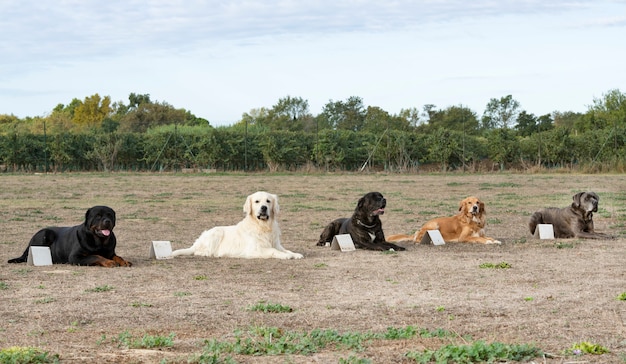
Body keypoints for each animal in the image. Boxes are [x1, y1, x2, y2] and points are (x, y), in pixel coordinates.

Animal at [171, 191, 302, 258]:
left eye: (268, 201)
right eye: (257, 201)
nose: (263, 208)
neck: (263, 226)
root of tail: (196, 243)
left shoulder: (276, 244)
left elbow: (286, 250)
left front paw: (295, 254)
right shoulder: (254, 250)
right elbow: (272, 250)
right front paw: (285, 256)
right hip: (216, 232)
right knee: (201, 252)